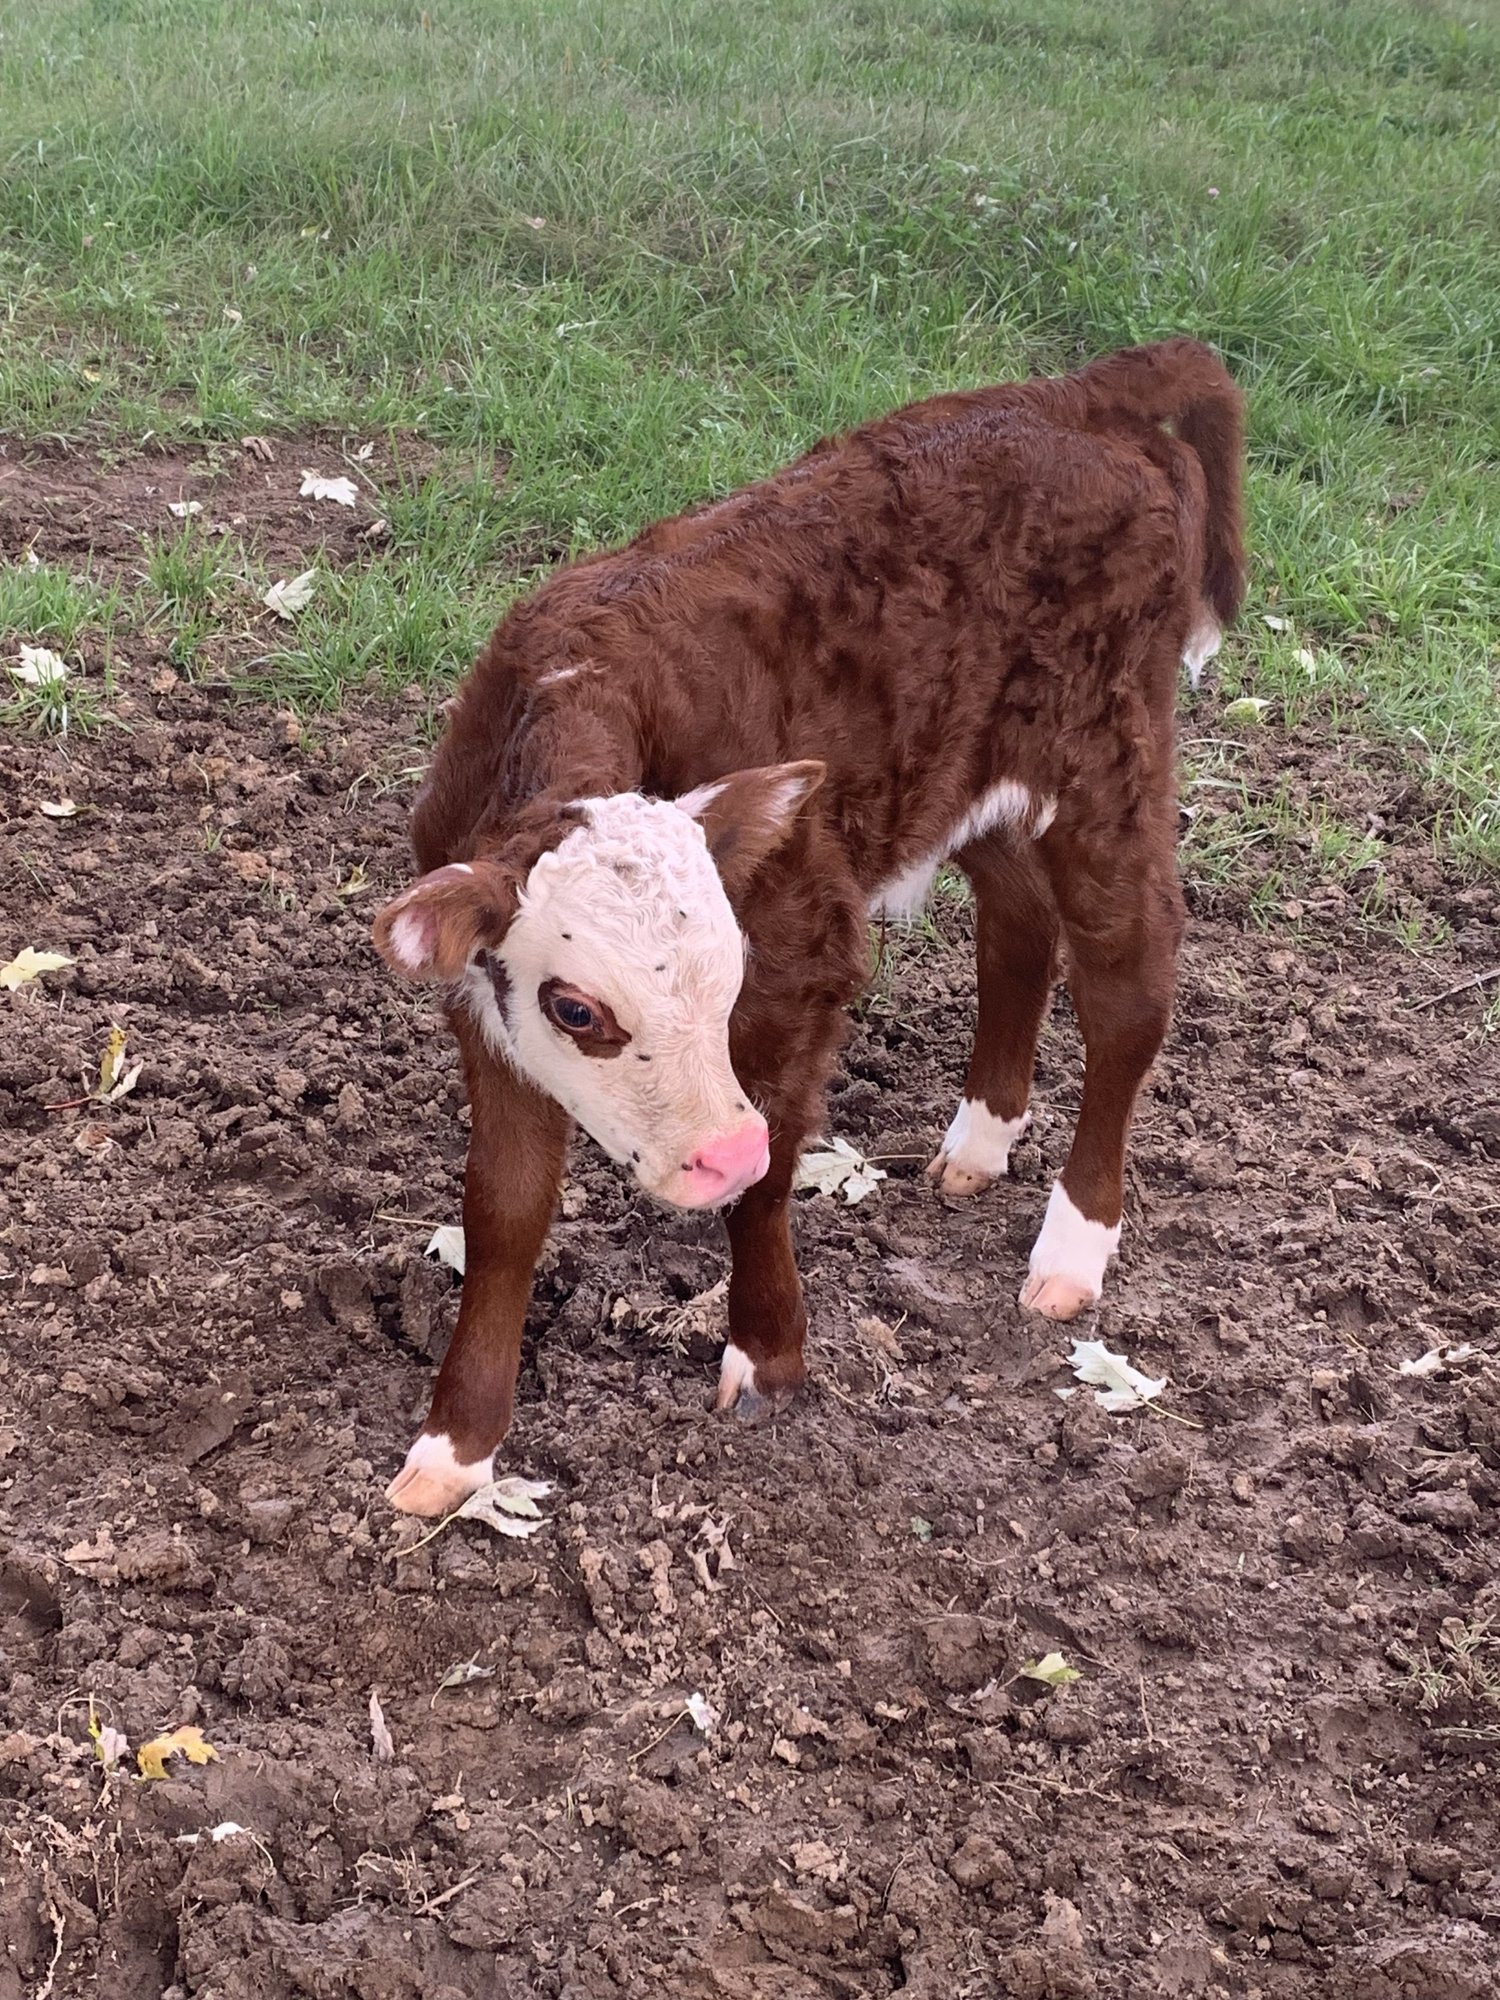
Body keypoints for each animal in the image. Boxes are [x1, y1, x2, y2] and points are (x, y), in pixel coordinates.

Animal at [374, 337, 1246, 1516]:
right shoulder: (485, 1008)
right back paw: (980, 1139)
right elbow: (503, 1214)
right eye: (575, 1008)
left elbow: (774, 1172)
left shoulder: (804, 956)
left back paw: (1071, 1252)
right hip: (970, 772)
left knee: (1126, 984)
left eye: (731, 971)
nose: (719, 1149)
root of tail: (1073, 391)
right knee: (1017, 920)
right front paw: (455, 1451)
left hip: (1109, 761)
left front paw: (768, 1352)